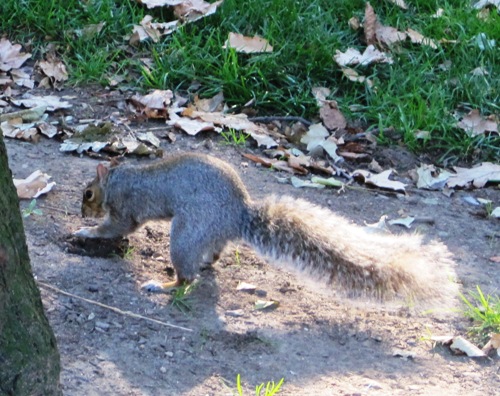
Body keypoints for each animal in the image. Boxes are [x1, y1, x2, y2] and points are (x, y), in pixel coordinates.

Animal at [74, 152, 458, 304]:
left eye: (88, 193)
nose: (81, 212)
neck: (119, 178)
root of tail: (238, 213)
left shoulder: (125, 208)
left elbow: (117, 228)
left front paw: (86, 233)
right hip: (205, 233)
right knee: (213, 256)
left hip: (186, 233)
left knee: (187, 278)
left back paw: (164, 284)